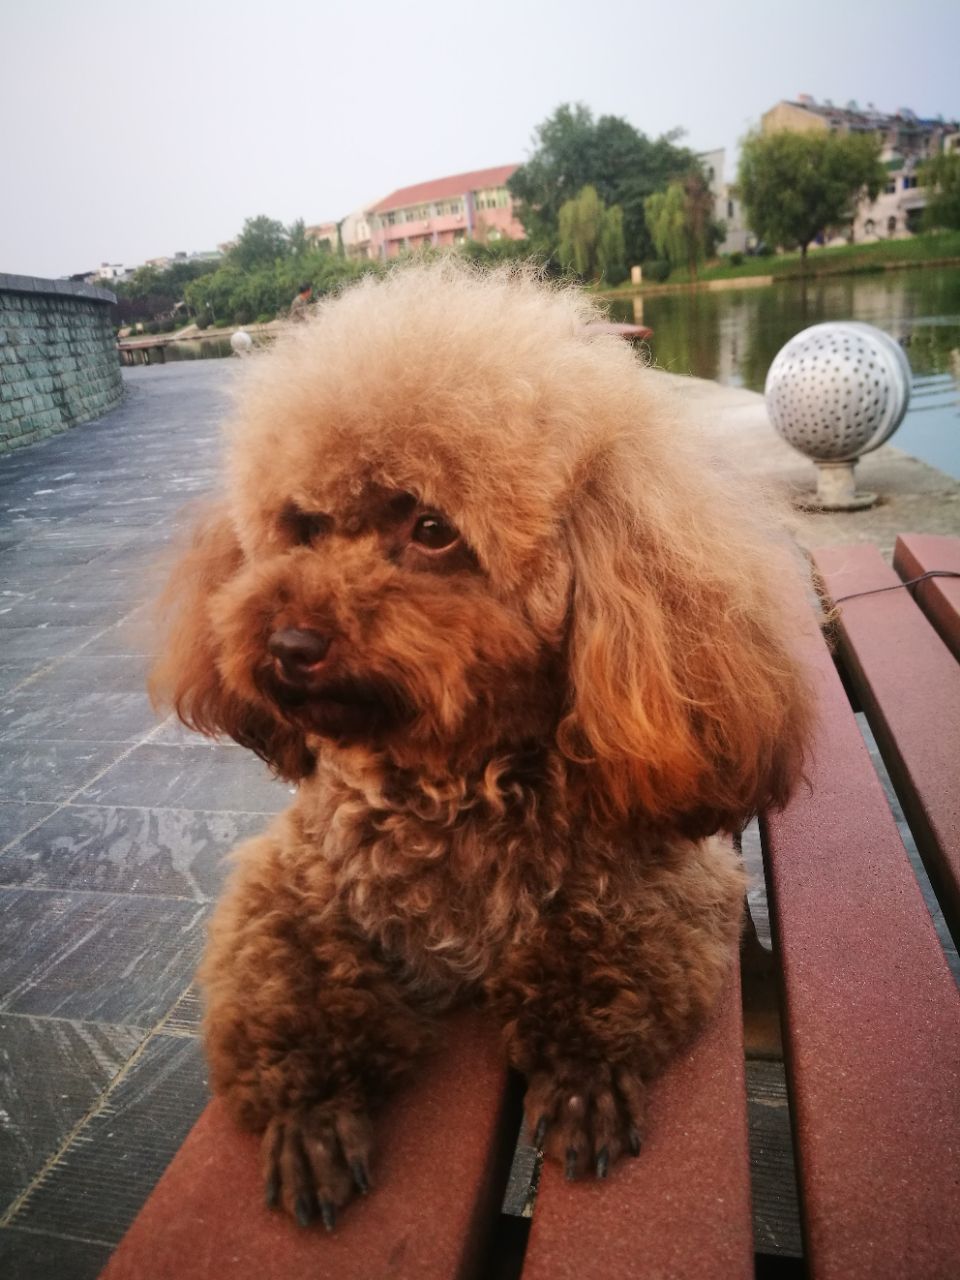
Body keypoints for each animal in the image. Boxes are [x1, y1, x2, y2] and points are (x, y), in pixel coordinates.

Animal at [150, 262, 812, 1229]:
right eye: (304, 526)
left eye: (432, 529)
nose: (289, 645)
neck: (452, 781)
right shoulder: (296, 875)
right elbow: (283, 976)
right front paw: (309, 1111)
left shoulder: (666, 880)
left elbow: (605, 954)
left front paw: (581, 1074)